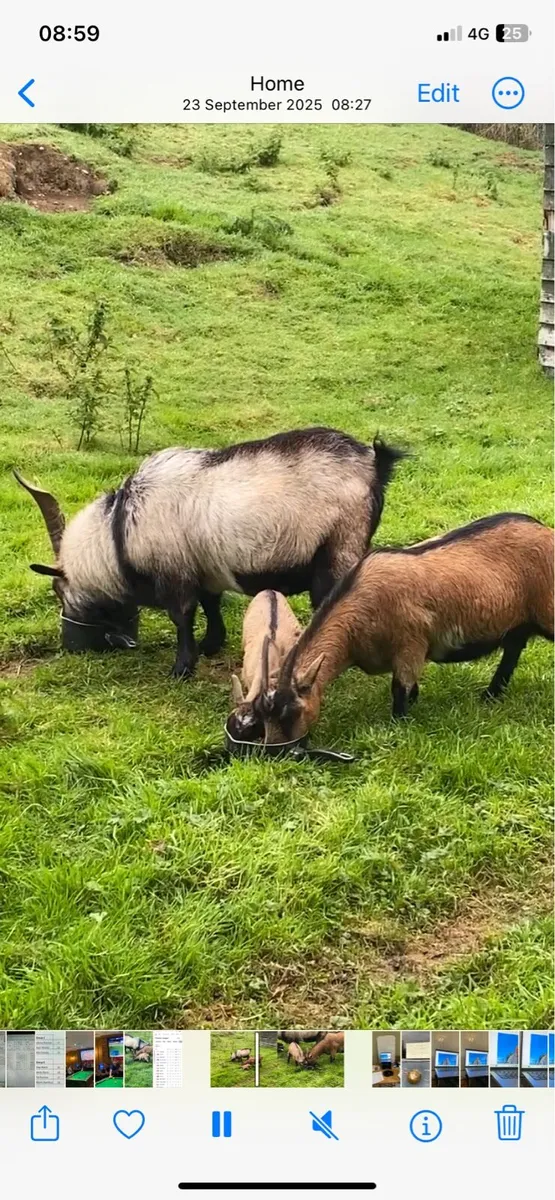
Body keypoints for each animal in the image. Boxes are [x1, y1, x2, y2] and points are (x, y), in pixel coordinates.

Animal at [14, 429, 405, 679]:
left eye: (57, 590)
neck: (119, 529)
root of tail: (373, 463)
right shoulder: (204, 569)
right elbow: (210, 604)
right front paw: (211, 645)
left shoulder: (174, 573)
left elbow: (182, 616)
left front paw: (182, 667)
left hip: (339, 547)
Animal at [261, 513, 554, 733]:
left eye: (289, 714)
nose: (281, 754)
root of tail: (546, 532)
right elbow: (411, 689)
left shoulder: (410, 645)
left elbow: (400, 690)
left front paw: (399, 726)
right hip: (518, 622)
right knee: (513, 650)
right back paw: (491, 694)